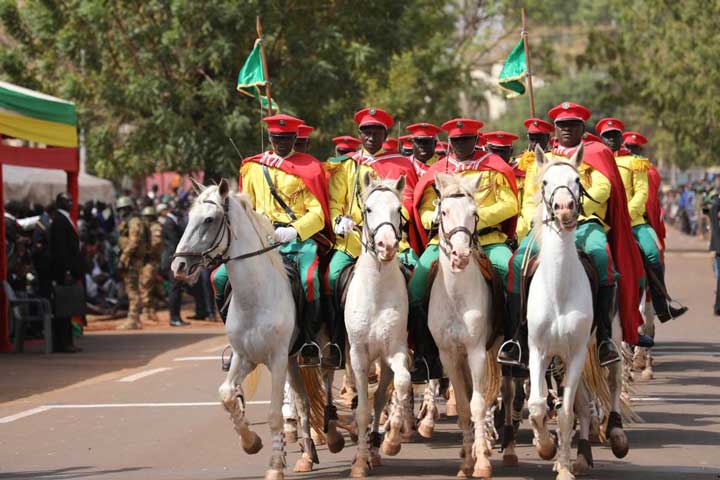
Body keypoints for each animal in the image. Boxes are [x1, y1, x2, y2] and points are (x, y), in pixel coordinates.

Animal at [170, 180, 322, 480]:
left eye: (209, 219)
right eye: (188, 216)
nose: (179, 265)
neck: (256, 297)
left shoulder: (276, 359)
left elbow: (275, 414)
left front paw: (275, 465)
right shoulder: (245, 357)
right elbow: (227, 395)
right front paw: (251, 442)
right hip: (292, 360)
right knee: (302, 401)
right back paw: (308, 455)